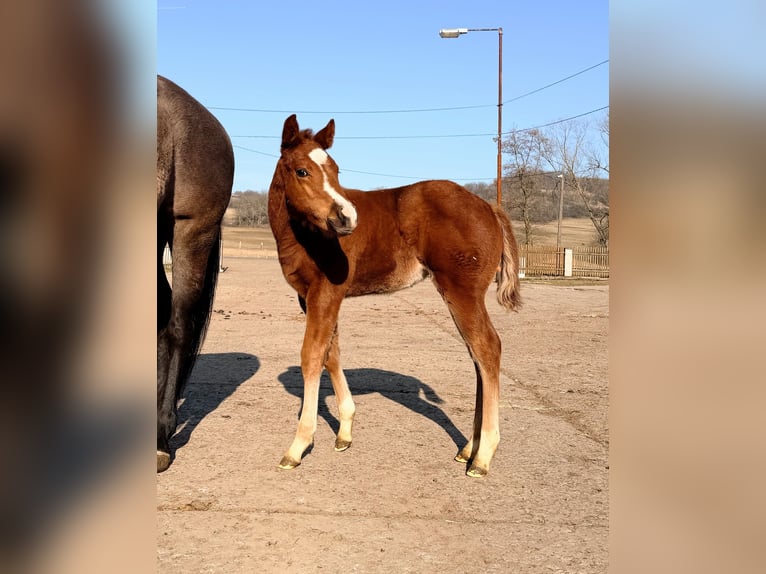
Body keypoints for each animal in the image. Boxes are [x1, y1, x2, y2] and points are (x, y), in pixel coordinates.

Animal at [268, 115, 521, 477]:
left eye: (335, 170)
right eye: (302, 171)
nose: (347, 217)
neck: (305, 235)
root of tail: (488, 206)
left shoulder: (325, 292)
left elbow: (312, 355)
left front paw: (298, 445)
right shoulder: (311, 297)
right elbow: (332, 352)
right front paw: (345, 431)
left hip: (462, 290)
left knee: (487, 348)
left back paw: (483, 456)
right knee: (477, 355)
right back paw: (469, 448)